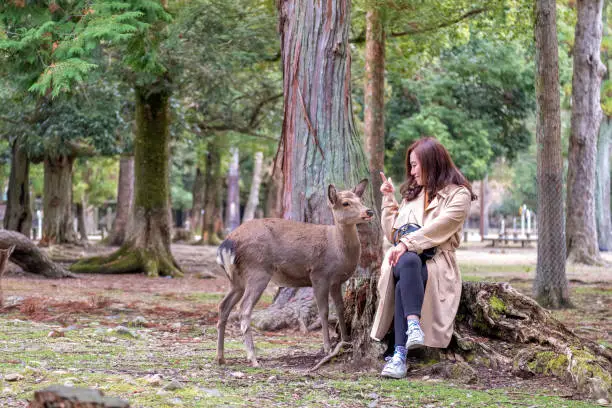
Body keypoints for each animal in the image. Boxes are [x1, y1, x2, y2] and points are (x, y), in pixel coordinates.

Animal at [218, 179, 376, 366]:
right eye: (345, 203)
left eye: (360, 199)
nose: (369, 211)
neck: (338, 251)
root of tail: (227, 243)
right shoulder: (319, 274)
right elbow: (324, 311)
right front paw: (327, 347)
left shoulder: (336, 281)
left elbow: (340, 308)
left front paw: (346, 340)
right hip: (257, 270)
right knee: (244, 308)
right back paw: (253, 358)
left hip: (236, 280)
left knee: (224, 306)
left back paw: (220, 357)